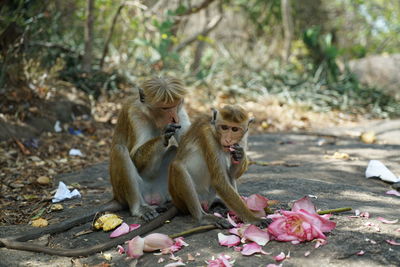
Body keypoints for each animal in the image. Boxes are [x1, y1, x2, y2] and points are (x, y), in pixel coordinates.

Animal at [0, 76, 191, 258]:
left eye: (175, 105)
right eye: (164, 108)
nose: (174, 118)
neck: (150, 115)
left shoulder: (181, 112)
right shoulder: (134, 116)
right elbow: (135, 158)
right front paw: (164, 134)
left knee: (176, 152)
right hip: (126, 191)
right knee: (120, 151)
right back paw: (139, 207)